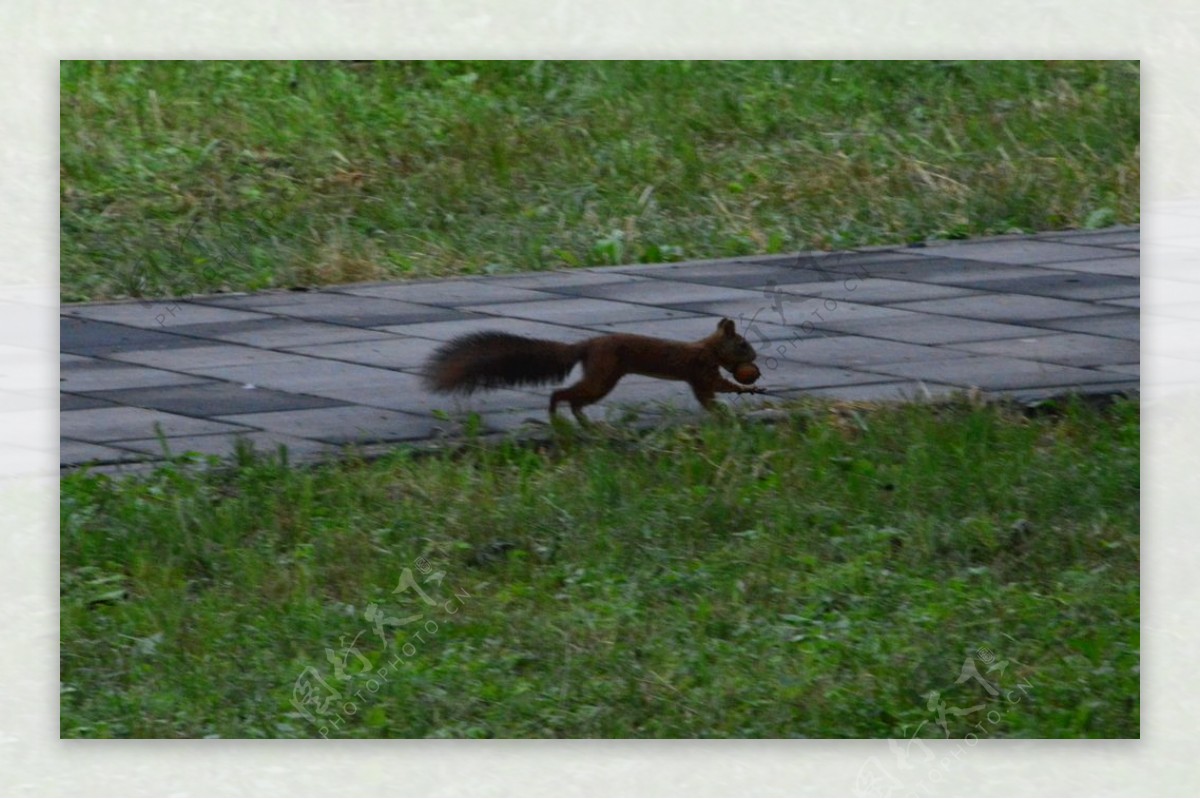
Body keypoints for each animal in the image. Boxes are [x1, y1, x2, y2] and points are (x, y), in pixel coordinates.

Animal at [422, 316, 768, 419]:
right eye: (743, 344)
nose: (756, 360)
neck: (708, 347)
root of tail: (586, 347)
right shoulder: (702, 368)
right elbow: (716, 388)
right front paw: (749, 389)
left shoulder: (698, 376)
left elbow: (707, 398)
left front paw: (723, 410)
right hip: (604, 374)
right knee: (566, 394)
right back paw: (556, 415)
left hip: (603, 376)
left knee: (577, 400)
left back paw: (588, 426)